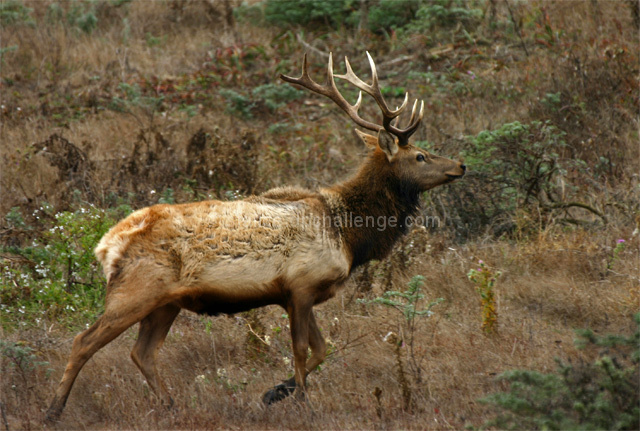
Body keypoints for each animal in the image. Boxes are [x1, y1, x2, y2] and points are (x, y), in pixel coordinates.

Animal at [45, 51, 464, 422]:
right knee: (84, 341)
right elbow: (301, 350)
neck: (349, 235)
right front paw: (304, 404)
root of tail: (106, 245)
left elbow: (322, 350)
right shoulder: (301, 285)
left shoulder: (295, 295)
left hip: (166, 302)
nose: (460, 164)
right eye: (421, 156)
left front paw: (274, 393)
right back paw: (54, 410)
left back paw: (171, 405)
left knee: (142, 353)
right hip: (135, 290)